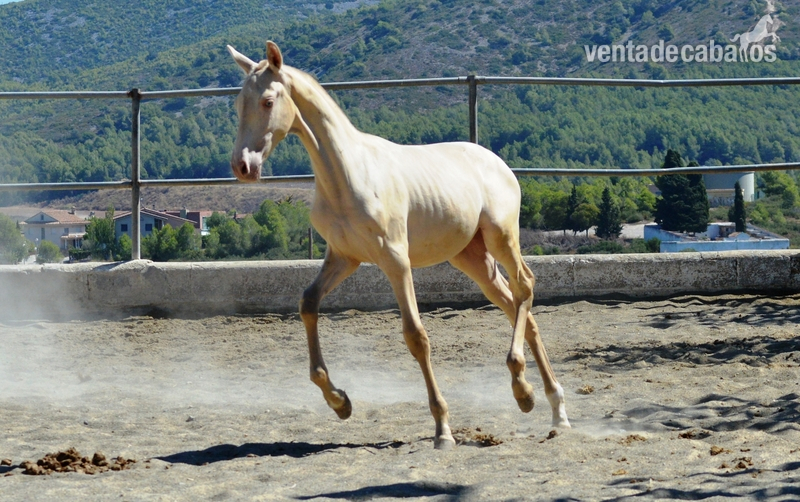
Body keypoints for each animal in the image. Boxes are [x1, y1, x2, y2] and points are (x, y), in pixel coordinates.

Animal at [226, 41, 570, 449]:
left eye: (267, 101)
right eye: (238, 103)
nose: (242, 167)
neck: (348, 175)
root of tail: (498, 162)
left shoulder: (395, 260)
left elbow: (416, 336)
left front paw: (442, 430)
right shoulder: (344, 257)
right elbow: (308, 304)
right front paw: (340, 402)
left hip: (501, 237)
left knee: (525, 286)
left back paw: (533, 394)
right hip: (472, 258)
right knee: (518, 306)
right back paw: (544, 403)